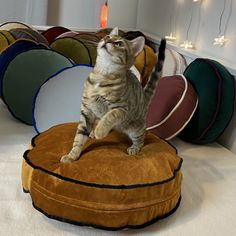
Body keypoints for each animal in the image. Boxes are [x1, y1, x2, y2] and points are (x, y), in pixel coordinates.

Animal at [60, 26, 166, 162]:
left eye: (119, 43)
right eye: (108, 37)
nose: (106, 40)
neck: (101, 76)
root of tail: (143, 95)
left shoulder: (122, 109)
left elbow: (110, 116)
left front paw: (100, 131)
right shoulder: (86, 111)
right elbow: (79, 137)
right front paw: (72, 155)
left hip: (135, 128)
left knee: (142, 136)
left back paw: (135, 147)